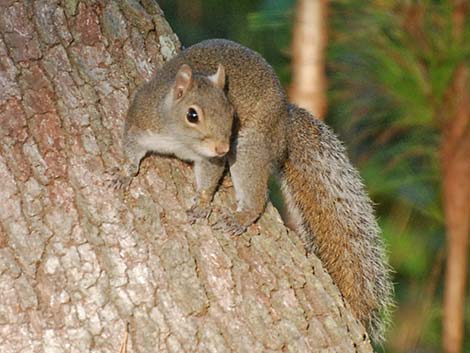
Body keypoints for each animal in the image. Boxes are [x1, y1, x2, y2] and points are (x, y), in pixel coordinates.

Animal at [110, 37, 392, 340]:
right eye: (192, 115)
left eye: (232, 114)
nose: (222, 147)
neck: (179, 141)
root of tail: (284, 123)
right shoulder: (141, 120)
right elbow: (131, 148)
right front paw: (124, 173)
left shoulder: (211, 159)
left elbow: (209, 177)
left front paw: (202, 202)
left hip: (249, 147)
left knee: (257, 195)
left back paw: (241, 216)